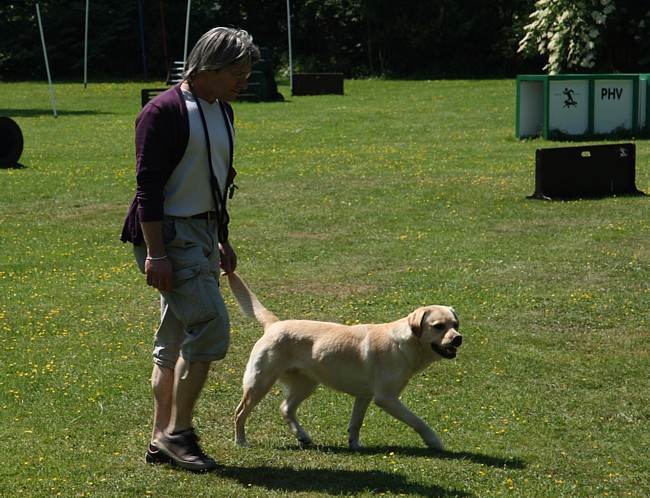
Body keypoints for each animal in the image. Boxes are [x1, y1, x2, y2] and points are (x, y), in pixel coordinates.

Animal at [228, 272, 460, 452]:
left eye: (455, 324)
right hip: (260, 382)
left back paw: (302, 435)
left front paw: (354, 445)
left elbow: (355, 423)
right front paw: (434, 442)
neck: (407, 342)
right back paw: (241, 442)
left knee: (285, 407)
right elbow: (418, 421)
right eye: (438, 326)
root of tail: (274, 324)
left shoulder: (365, 396)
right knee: (239, 412)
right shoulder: (386, 398)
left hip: (306, 384)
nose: (458, 338)